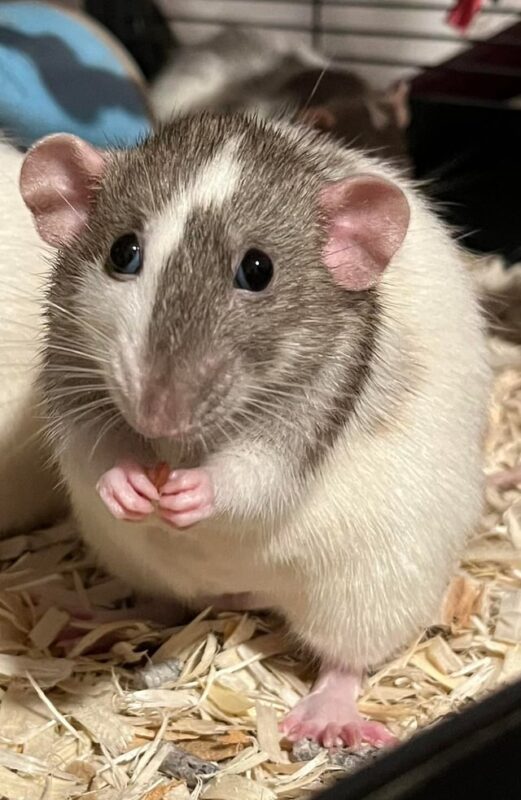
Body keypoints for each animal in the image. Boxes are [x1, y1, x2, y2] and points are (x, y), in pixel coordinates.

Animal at [20, 115, 490, 747]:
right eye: (123, 253)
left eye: (258, 269)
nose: (157, 414)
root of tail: (243, 591)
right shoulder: (70, 364)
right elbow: (86, 442)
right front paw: (122, 479)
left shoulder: (322, 395)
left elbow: (263, 477)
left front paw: (203, 490)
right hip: (135, 563)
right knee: (162, 607)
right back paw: (96, 618)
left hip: (373, 588)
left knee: (348, 651)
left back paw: (331, 707)